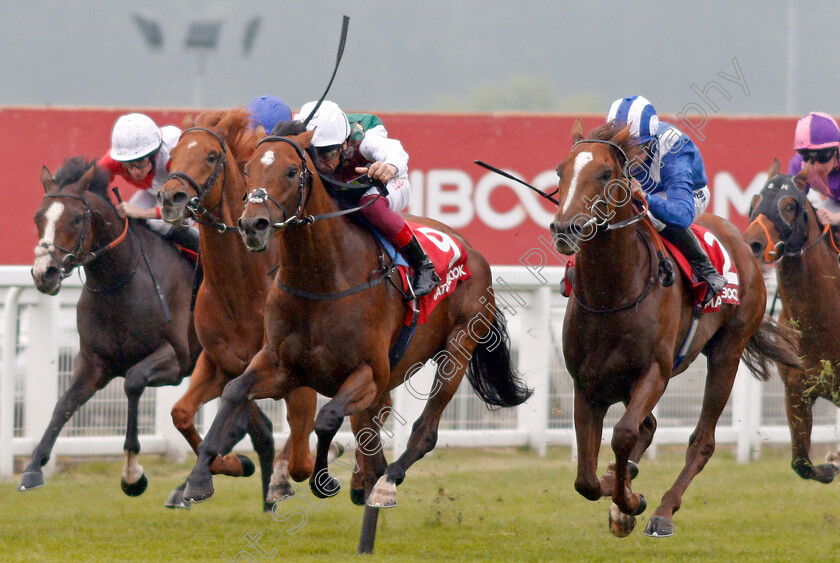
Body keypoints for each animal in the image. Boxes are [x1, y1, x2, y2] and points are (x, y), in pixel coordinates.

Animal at [23, 156, 202, 496]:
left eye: (77, 218)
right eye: (38, 217)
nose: (44, 274)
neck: (119, 283)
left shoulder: (176, 359)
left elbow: (132, 382)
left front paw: (132, 474)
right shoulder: (94, 363)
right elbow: (63, 404)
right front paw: (32, 469)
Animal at [156, 109, 330, 512]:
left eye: (211, 156)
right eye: (172, 156)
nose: (171, 197)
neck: (241, 285)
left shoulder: (294, 375)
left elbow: (300, 455)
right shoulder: (219, 364)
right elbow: (183, 414)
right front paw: (232, 465)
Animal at [182, 124, 532, 556]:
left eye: (291, 172)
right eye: (247, 169)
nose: (253, 224)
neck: (321, 280)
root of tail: (471, 249)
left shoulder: (366, 372)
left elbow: (327, 418)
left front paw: (324, 480)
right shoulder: (280, 367)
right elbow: (234, 393)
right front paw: (200, 479)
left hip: (457, 347)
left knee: (424, 432)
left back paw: (384, 485)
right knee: (373, 439)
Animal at [552, 122, 800, 536]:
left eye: (604, 173)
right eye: (560, 172)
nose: (565, 228)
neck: (612, 295)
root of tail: (742, 241)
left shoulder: (654, 371)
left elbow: (623, 434)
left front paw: (629, 501)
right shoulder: (586, 384)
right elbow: (585, 479)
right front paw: (617, 493)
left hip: (727, 353)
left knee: (702, 440)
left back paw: (662, 512)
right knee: (649, 426)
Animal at [744, 162, 840, 484]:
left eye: (789, 205)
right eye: (755, 201)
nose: (752, 243)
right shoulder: (797, 391)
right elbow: (801, 463)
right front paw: (831, 464)